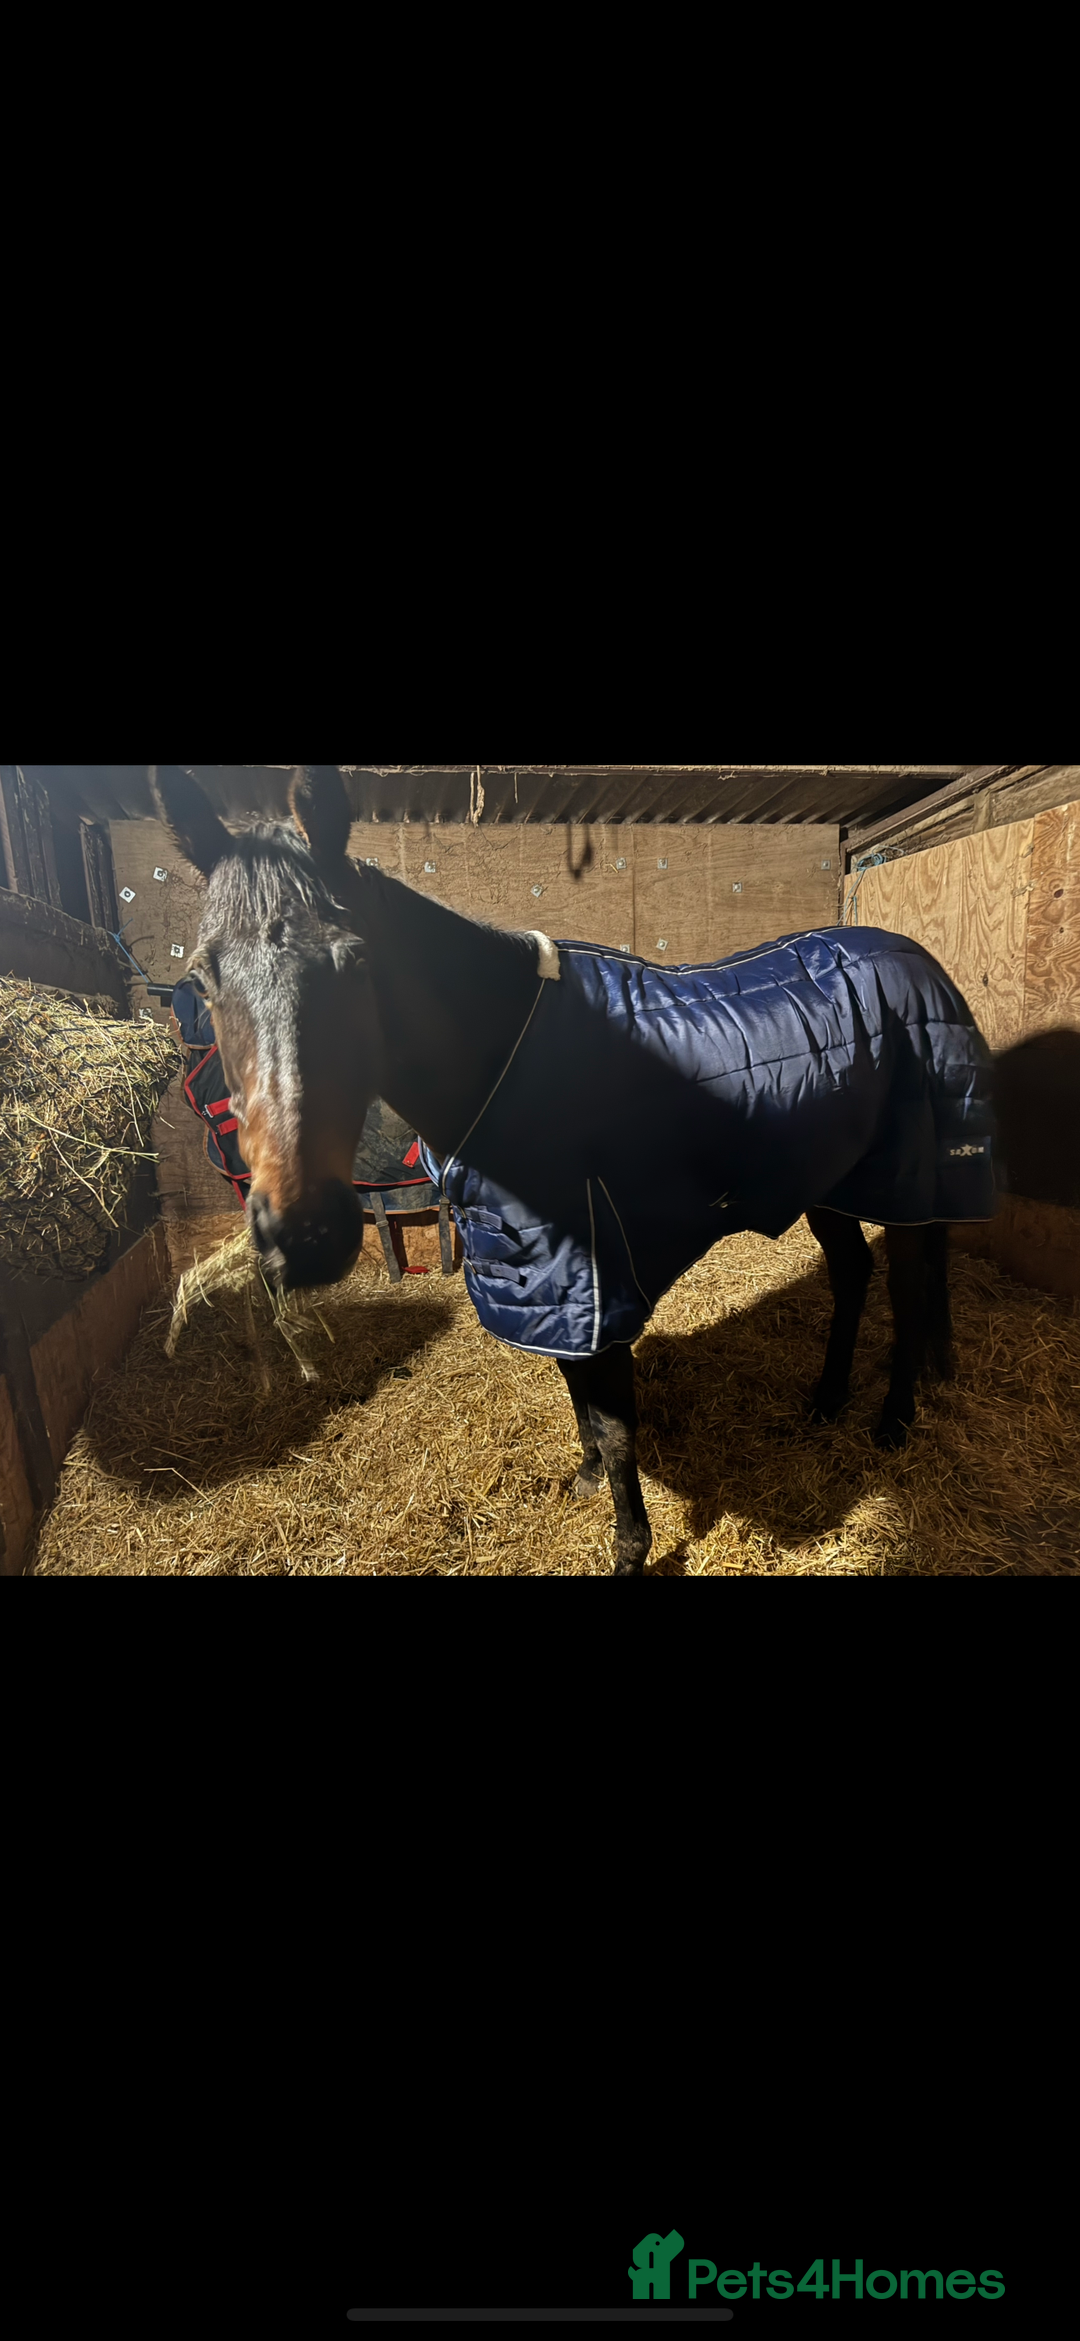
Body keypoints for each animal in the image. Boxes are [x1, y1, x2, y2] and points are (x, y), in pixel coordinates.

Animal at [151, 763, 999, 1578]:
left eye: (355, 961)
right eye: (200, 981)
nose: (306, 1234)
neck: (502, 1056)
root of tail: (918, 959)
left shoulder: (596, 1278)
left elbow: (616, 1423)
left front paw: (629, 1548)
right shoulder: (544, 1279)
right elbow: (576, 1395)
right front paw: (587, 1478)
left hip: (908, 1184)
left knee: (908, 1293)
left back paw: (892, 1420)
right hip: (828, 1182)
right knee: (853, 1276)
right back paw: (825, 1401)